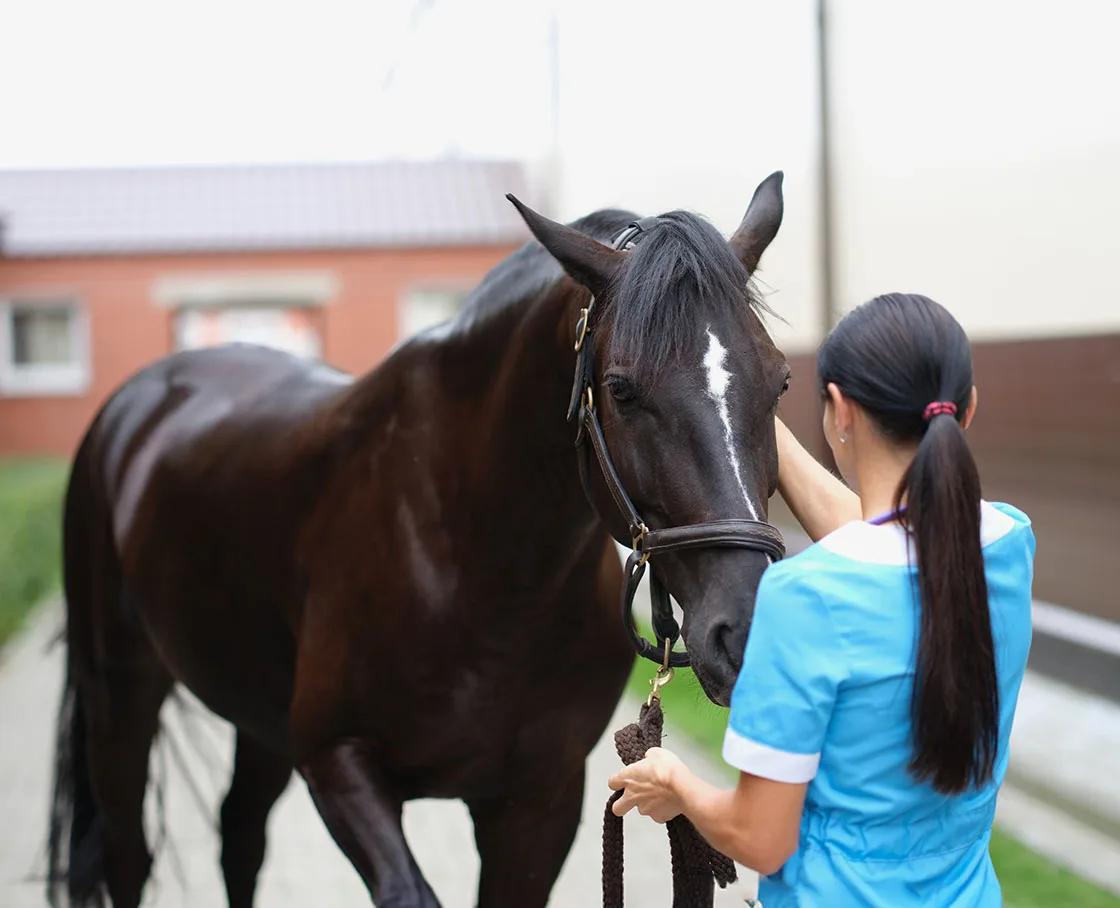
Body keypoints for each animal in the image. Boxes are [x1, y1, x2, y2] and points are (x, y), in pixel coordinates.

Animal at [47, 171, 790, 908]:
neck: (476, 565)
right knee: (129, 852)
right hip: (121, 695)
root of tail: (136, 404)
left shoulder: (539, 801)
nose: (752, 635)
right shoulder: (338, 761)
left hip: (260, 716)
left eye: (780, 381)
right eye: (621, 389)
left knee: (240, 835)